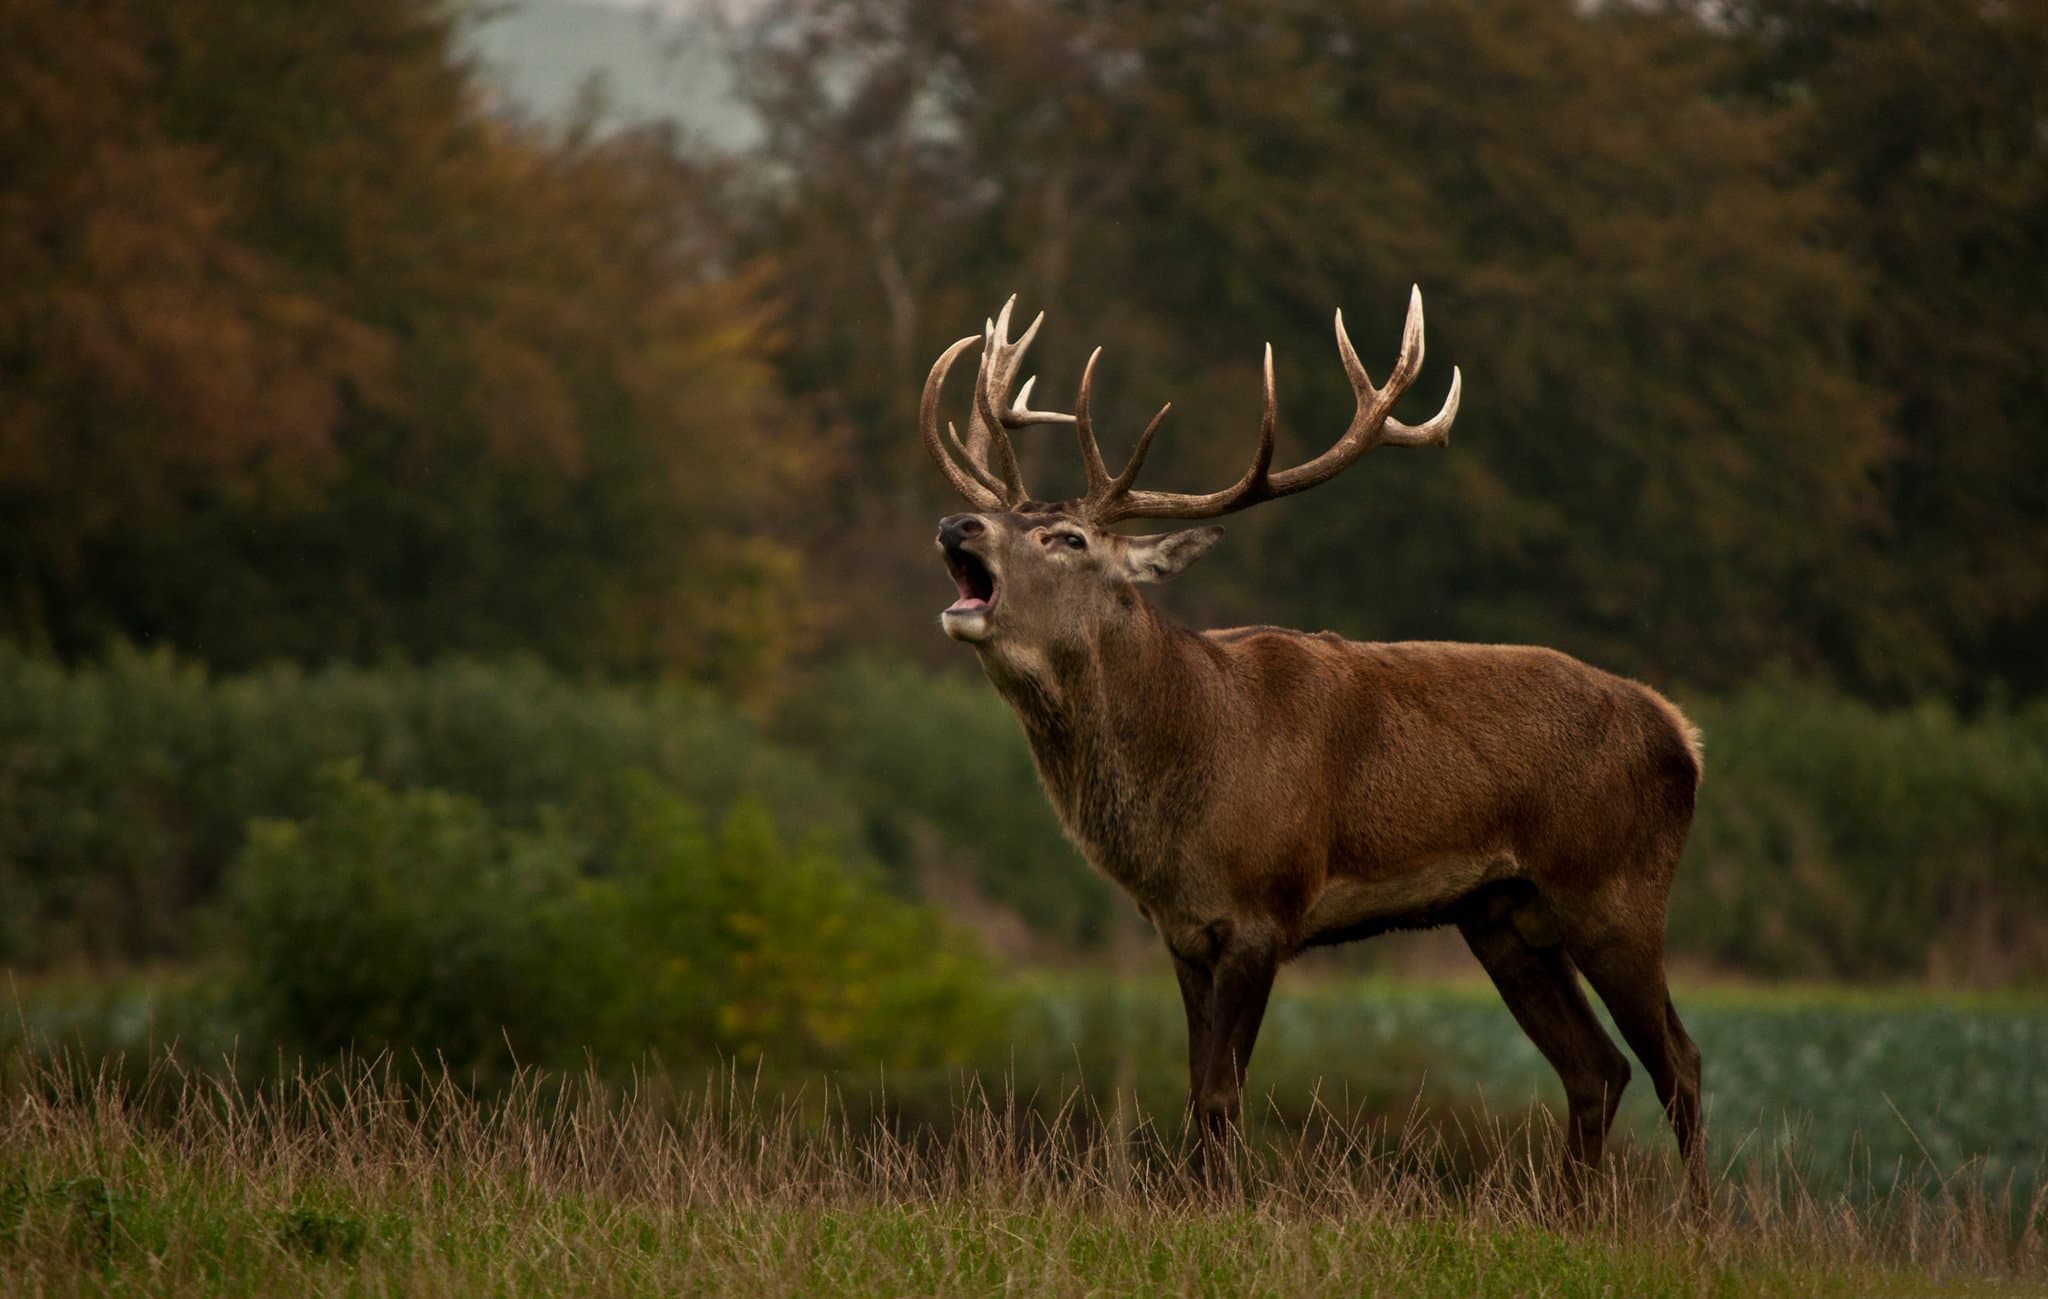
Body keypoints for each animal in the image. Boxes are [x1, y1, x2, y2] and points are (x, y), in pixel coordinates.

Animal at [918, 291, 1707, 1198]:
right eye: (1012, 516)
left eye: (1068, 538)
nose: (956, 521)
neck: (1186, 777)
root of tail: (1684, 736)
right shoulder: (1183, 931)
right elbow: (1192, 1089)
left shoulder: (1264, 907)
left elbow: (1221, 1094)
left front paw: (1223, 1208)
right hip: (1503, 915)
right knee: (1597, 1068)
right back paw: (1570, 1213)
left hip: (1616, 889)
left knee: (1678, 1060)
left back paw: (1697, 1216)